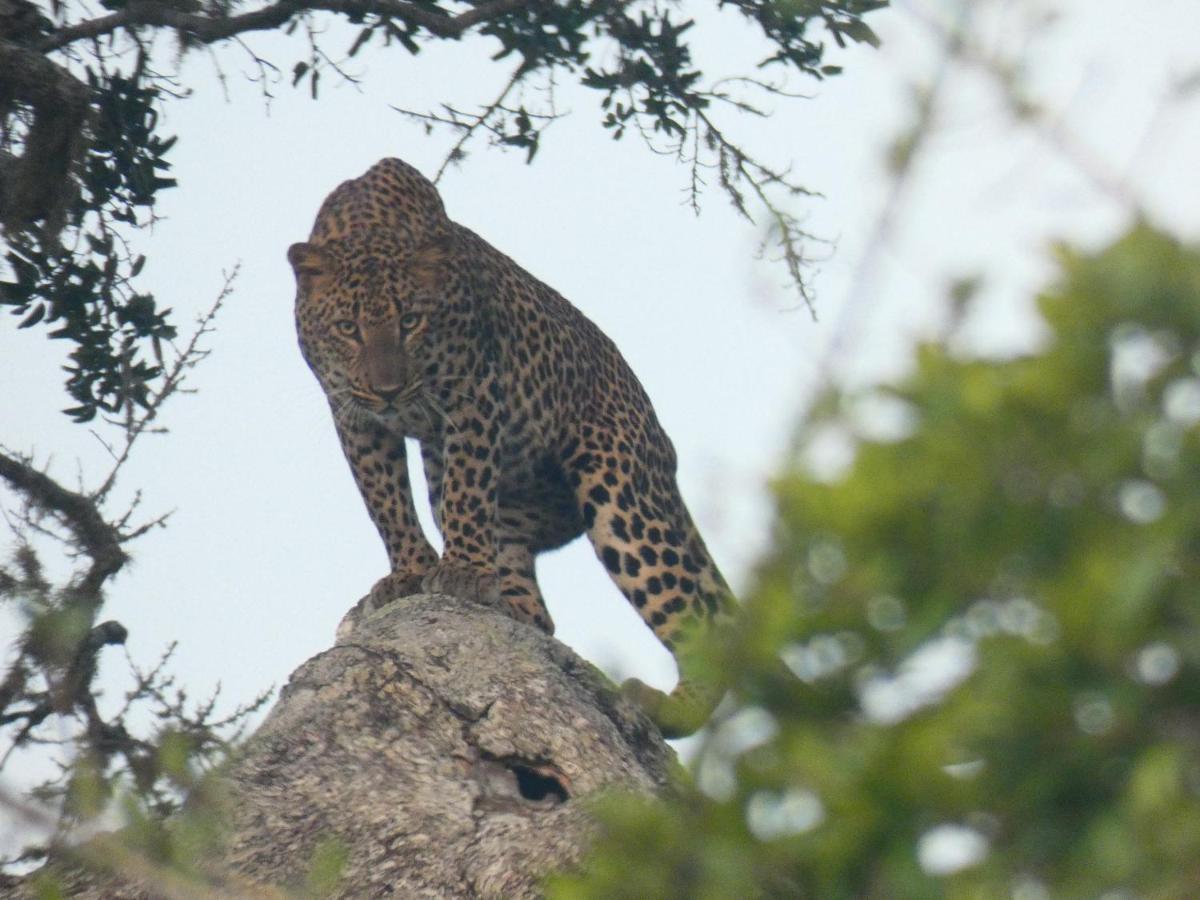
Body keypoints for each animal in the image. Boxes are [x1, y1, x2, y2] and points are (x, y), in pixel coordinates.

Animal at [289, 160, 734, 739]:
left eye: (410, 321)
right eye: (348, 328)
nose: (389, 389)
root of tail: (662, 443)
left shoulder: (473, 395)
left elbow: (466, 489)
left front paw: (460, 572)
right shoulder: (354, 416)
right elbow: (386, 502)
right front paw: (411, 573)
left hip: (620, 488)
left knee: (704, 619)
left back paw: (665, 709)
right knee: (538, 607)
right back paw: (513, 611)